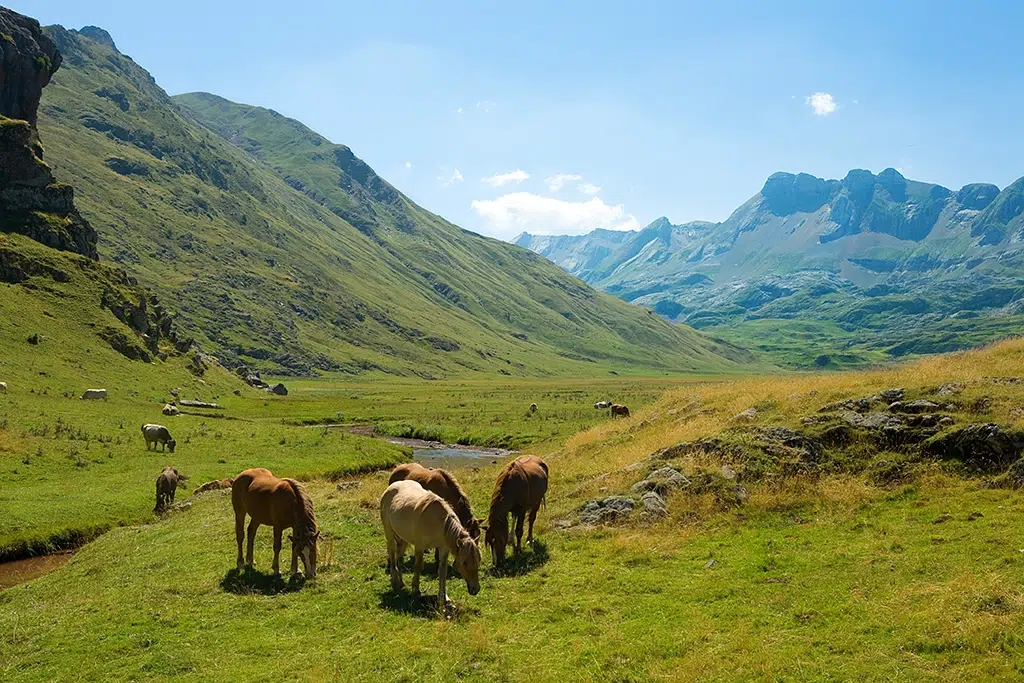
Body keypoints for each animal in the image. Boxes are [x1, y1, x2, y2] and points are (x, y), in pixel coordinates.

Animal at [380, 481, 483, 610]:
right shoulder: (419, 546)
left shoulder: (443, 548)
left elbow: (442, 571)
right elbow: (418, 567)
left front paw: (444, 597)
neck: (437, 522)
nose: (475, 589)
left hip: (403, 537)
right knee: (392, 553)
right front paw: (415, 591)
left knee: (399, 555)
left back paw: (400, 580)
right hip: (389, 533)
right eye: (465, 562)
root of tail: (392, 486)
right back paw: (395, 581)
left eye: (478, 561)